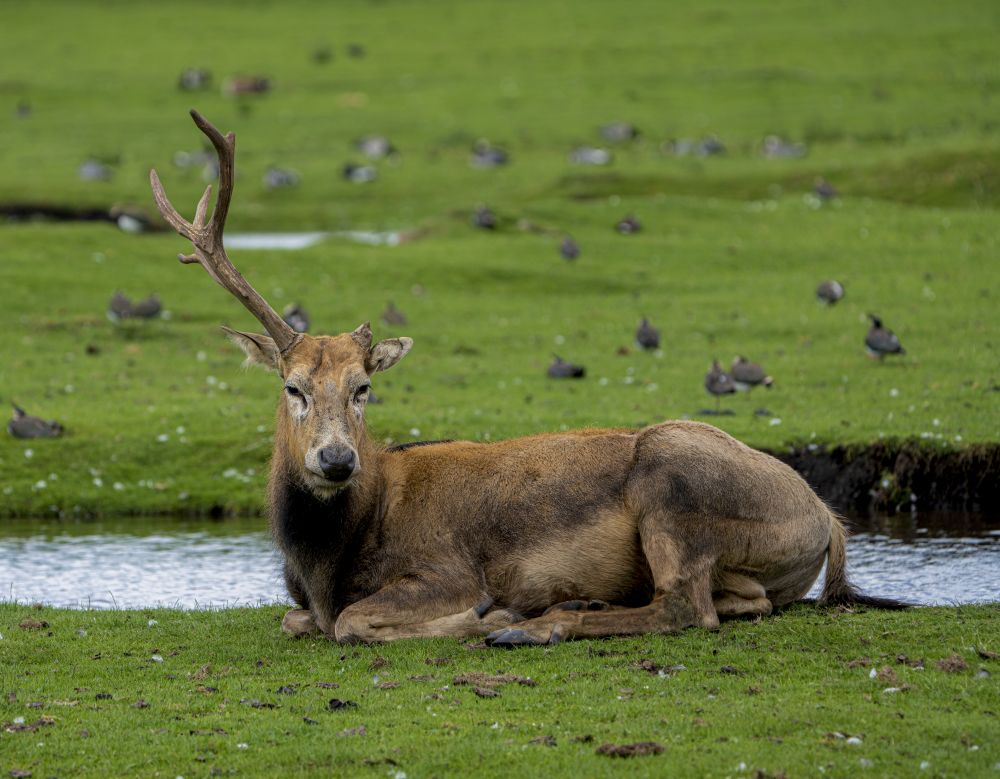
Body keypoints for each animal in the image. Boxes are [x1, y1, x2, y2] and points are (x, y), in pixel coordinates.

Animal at [148, 109, 908, 644]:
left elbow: (353, 623)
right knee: (741, 601)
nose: (336, 460)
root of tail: (827, 517)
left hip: (674, 482)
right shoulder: (303, 600)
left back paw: (539, 622)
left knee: (685, 607)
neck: (325, 560)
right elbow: (297, 619)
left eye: (363, 387)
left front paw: (487, 614)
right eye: (293, 386)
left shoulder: (445, 568)